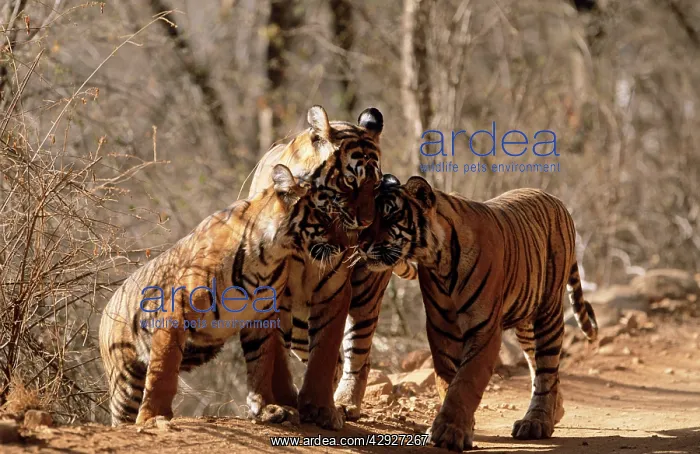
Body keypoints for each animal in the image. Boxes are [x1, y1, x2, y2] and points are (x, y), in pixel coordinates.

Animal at [99, 164, 348, 426]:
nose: (345, 246)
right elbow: (164, 368)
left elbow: (262, 363)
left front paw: (267, 407)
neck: (270, 254)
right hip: (125, 382)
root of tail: (106, 308)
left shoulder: (262, 315)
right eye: (325, 216)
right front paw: (153, 417)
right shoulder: (176, 311)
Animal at [357, 174, 599, 452]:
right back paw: (554, 412)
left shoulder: (484, 327)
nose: (361, 244)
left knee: (547, 368)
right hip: (526, 322)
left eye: (388, 216)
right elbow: (447, 381)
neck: (437, 260)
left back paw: (537, 421)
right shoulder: (441, 328)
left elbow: (466, 381)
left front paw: (449, 432)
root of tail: (555, 199)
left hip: (548, 312)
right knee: (536, 364)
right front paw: (459, 428)